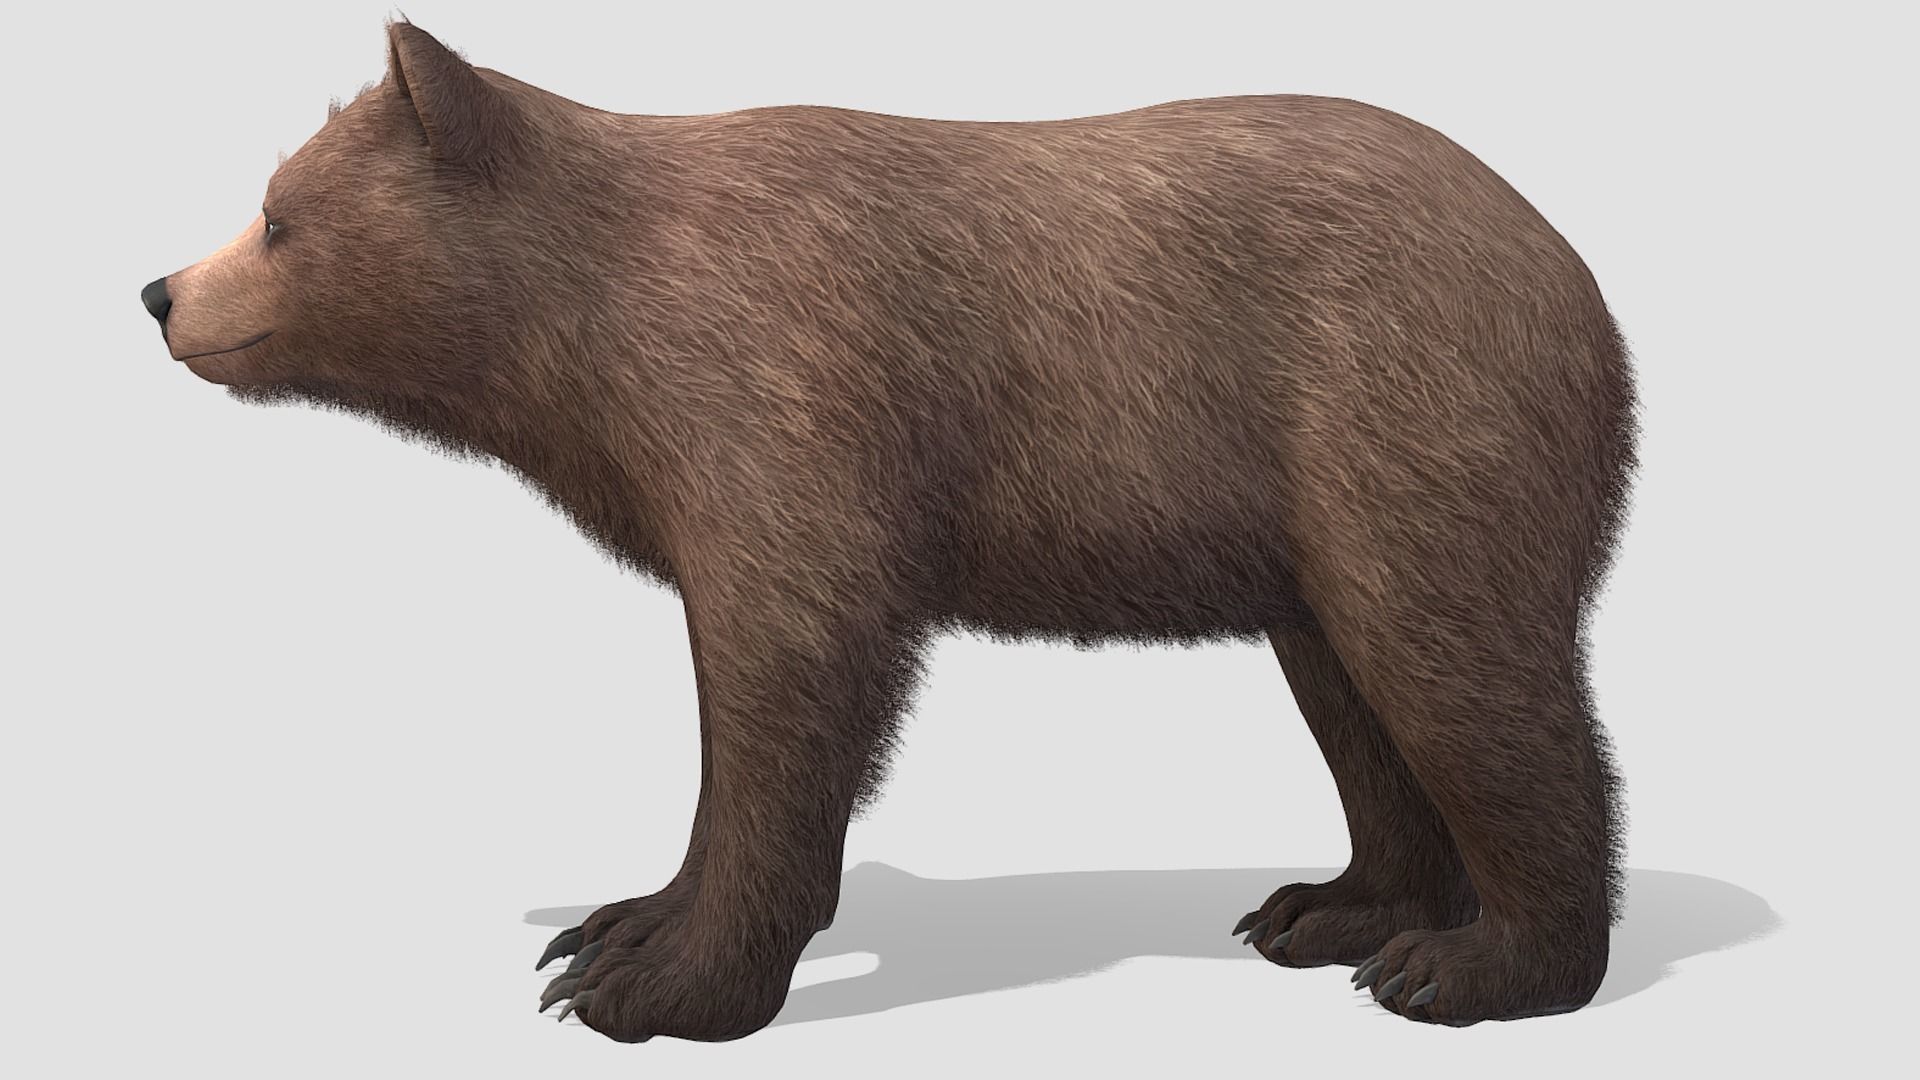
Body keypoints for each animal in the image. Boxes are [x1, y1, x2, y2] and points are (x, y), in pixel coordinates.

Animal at [140, 20, 1637, 1041]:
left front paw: (662, 985)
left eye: (275, 216)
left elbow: (794, 668)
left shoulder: (785, 391)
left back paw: (1477, 964)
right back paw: (1335, 907)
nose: (160, 291)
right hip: (1313, 519)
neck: (588, 333)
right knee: (1354, 693)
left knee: (1457, 666)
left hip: (1405, 415)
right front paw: (614, 923)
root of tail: (1580, 282)